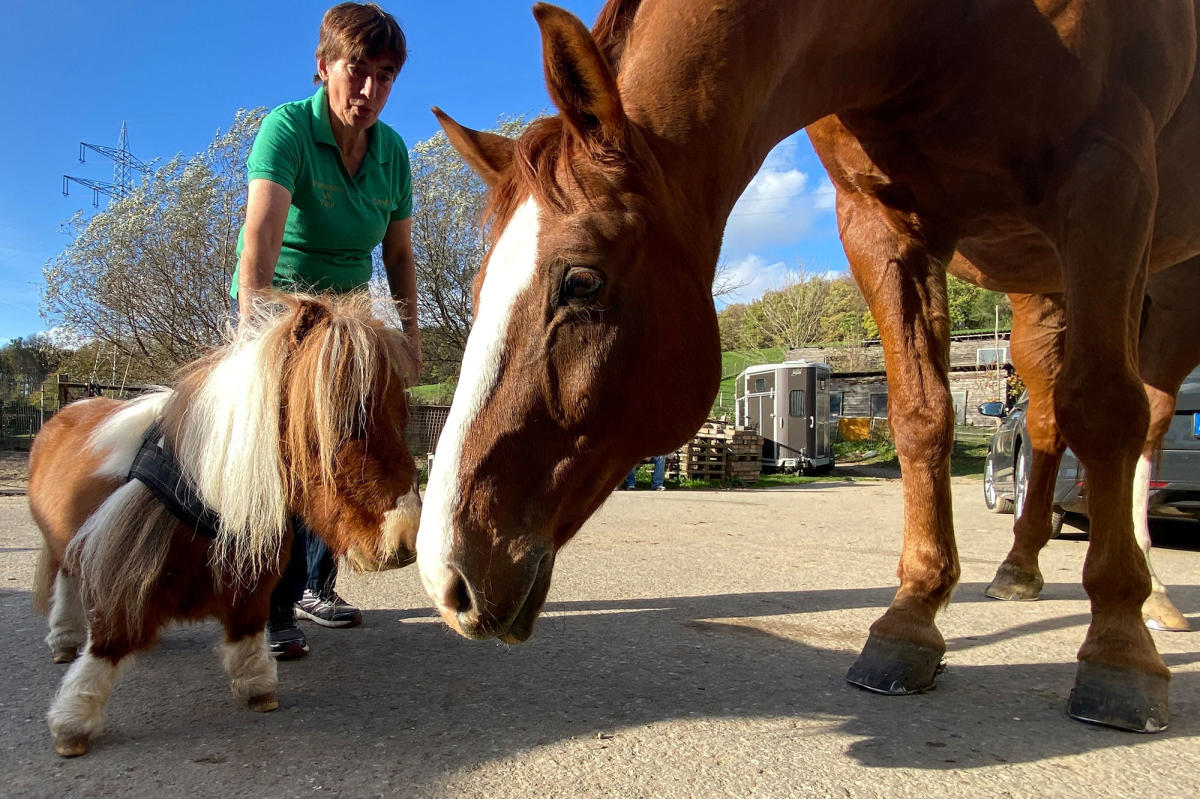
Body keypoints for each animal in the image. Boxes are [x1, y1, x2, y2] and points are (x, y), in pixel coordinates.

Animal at [30, 293, 422, 753]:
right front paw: (73, 721)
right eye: (344, 420)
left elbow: (247, 625)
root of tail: (73, 405)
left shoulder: (249, 581)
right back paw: (64, 639)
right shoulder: (123, 574)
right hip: (61, 543)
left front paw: (257, 685)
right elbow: (110, 638)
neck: (208, 490)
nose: (407, 538)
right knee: (66, 580)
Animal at [417, 0, 1195, 729]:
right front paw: (910, 622)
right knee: (1047, 419)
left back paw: (1152, 595)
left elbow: (1105, 411)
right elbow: (922, 417)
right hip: (1041, 286)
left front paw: (1119, 649)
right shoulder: (879, 224)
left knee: (1142, 419)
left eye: (581, 281)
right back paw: (1020, 569)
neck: (933, 33)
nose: (446, 577)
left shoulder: (1108, 180)